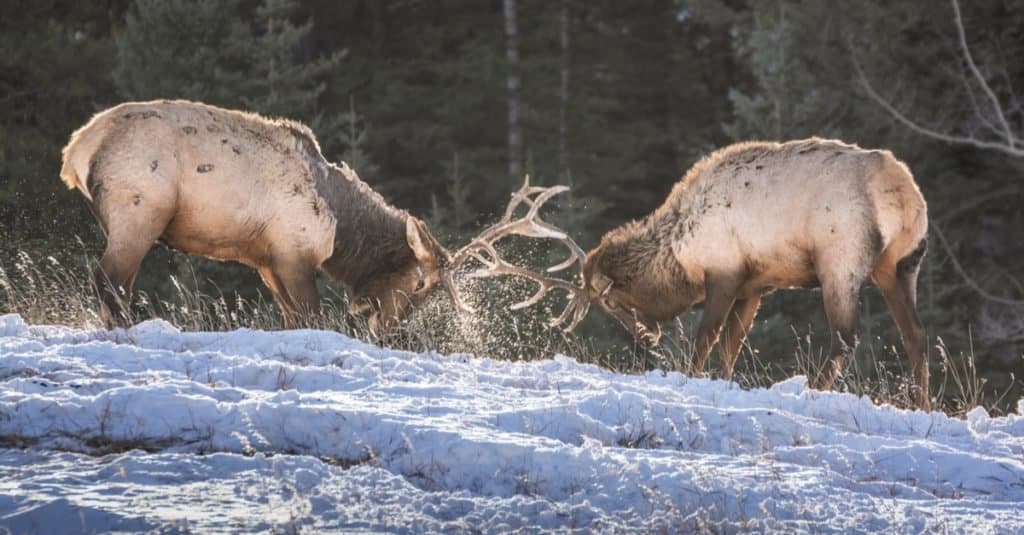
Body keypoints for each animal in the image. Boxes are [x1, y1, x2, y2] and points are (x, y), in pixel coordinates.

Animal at [60, 98, 464, 332]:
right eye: (419, 284)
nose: (389, 329)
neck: (342, 231)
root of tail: (76, 149)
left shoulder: (266, 260)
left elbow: (291, 319)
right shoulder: (293, 253)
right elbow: (312, 317)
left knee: (116, 285)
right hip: (139, 212)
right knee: (107, 280)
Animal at [468, 137, 933, 407]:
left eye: (611, 301)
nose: (647, 338)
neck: (681, 253)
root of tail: (903, 196)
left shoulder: (725, 272)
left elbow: (705, 339)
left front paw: (692, 380)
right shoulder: (756, 285)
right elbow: (730, 347)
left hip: (840, 258)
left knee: (846, 336)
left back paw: (815, 393)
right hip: (902, 264)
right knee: (916, 336)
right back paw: (921, 404)